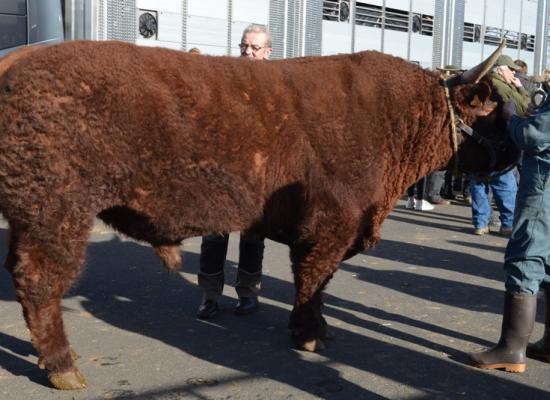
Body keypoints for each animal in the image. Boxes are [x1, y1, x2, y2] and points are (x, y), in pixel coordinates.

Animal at [0, 39, 512, 388]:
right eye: (492, 109)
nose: (513, 157)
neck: (395, 118)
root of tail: (16, 60)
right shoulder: (330, 230)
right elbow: (313, 281)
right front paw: (307, 334)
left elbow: (320, 284)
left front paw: (320, 330)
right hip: (57, 217)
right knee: (40, 284)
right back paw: (64, 369)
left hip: (32, 221)